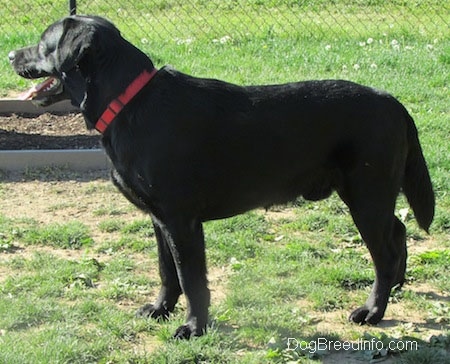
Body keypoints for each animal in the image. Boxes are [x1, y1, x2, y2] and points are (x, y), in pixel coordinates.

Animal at [8, 14, 434, 338]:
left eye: (44, 42)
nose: (11, 53)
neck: (128, 103)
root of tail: (394, 102)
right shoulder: (159, 219)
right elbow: (167, 272)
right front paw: (160, 309)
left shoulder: (181, 222)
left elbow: (191, 280)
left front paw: (193, 327)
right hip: (372, 195)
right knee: (397, 231)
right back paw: (397, 284)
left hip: (366, 195)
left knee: (384, 251)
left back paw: (374, 310)